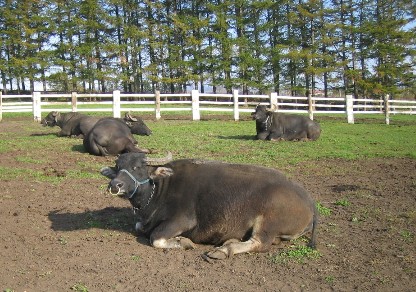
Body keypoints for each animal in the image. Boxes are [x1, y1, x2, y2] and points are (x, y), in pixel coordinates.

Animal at [100, 152, 316, 262]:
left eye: (137, 167)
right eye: (117, 167)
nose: (115, 185)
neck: (159, 189)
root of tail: (308, 200)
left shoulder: (182, 220)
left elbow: (156, 237)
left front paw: (183, 242)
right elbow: (140, 228)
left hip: (268, 221)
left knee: (260, 243)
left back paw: (223, 250)